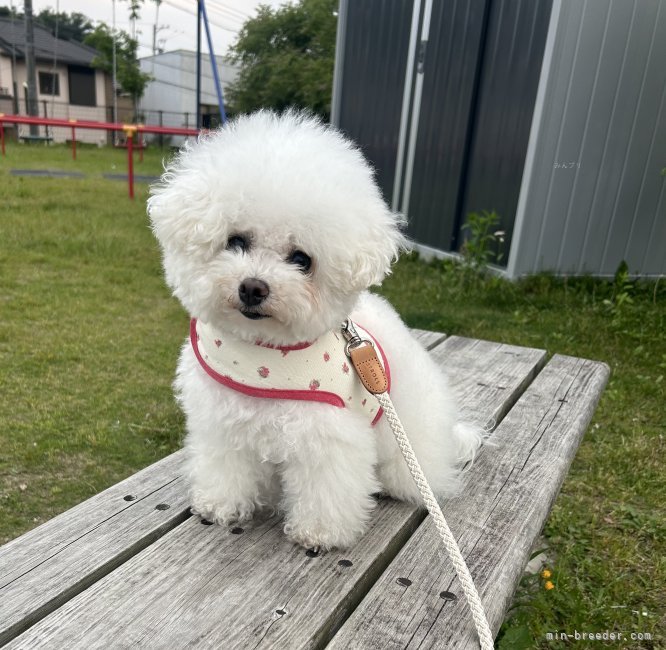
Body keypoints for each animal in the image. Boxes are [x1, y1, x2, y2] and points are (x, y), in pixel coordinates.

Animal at [150, 110, 480, 548]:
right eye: (235, 241)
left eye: (301, 260)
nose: (253, 287)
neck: (263, 358)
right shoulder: (221, 424)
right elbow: (226, 467)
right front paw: (220, 504)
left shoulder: (329, 436)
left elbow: (326, 486)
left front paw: (320, 532)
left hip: (407, 440)